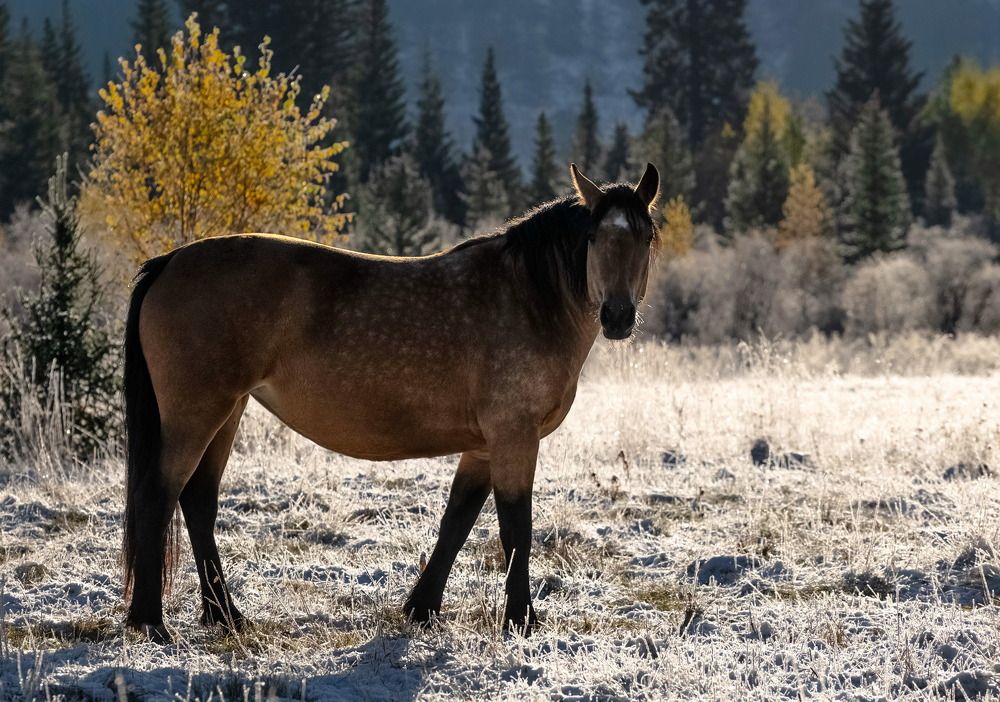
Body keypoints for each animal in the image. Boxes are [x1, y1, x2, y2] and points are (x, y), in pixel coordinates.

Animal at [122, 162, 660, 642]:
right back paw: (151, 623)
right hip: (197, 414)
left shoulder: (483, 446)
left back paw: (224, 615)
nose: (617, 316)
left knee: (197, 501)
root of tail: (169, 262)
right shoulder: (514, 436)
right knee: (158, 495)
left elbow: (457, 520)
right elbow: (516, 528)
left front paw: (422, 609)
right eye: (595, 239)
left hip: (227, 413)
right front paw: (520, 621)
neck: (528, 297)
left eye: (646, 239)